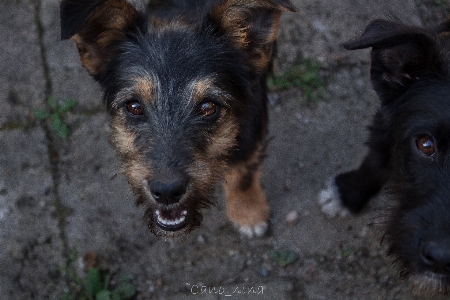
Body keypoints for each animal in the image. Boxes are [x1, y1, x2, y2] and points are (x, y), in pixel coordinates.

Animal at [61, 0, 298, 239]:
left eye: (208, 107)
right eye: (134, 106)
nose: (166, 192)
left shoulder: (252, 132)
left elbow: (244, 174)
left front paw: (248, 212)